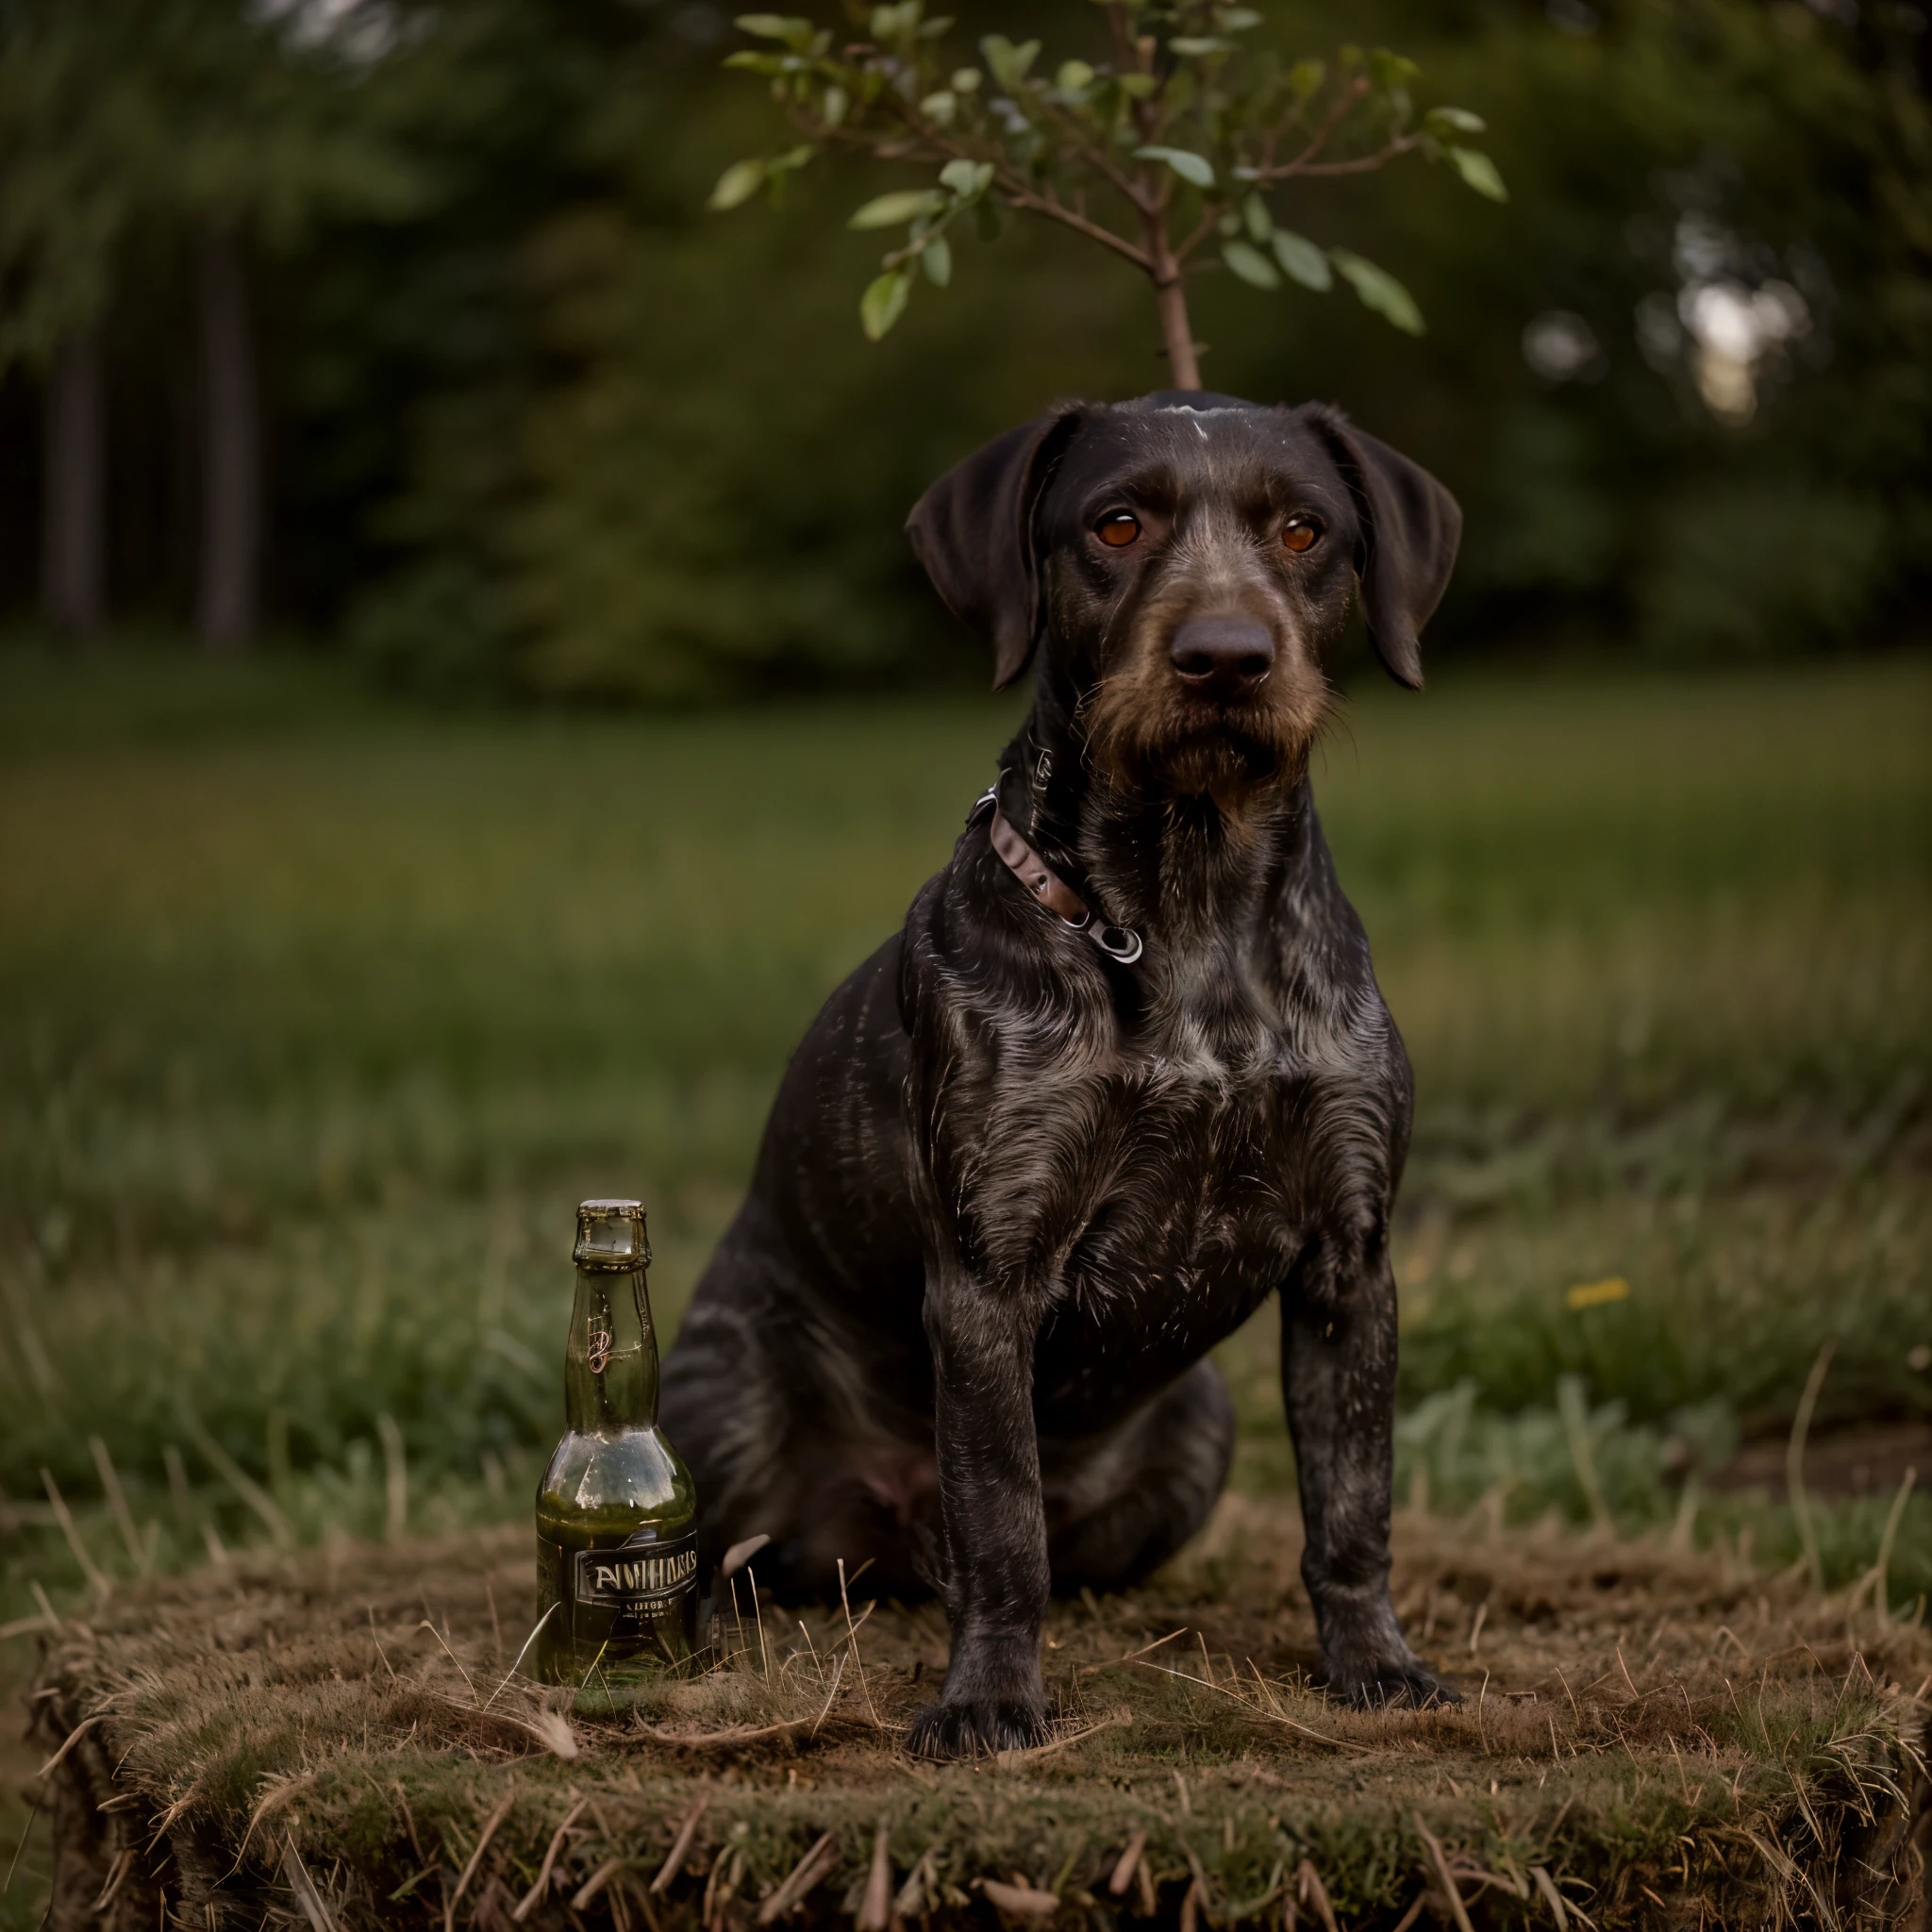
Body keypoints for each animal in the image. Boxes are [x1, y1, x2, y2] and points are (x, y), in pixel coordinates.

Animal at [664, 388, 1460, 1754]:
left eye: (1303, 528)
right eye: (1117, 522)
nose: (1225, 657)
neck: (1190, 912)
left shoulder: (1348, 1260)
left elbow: (1352, 1507)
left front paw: (1373, 1662)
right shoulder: (992, 1266)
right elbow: (1001, 1524)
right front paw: (988, 1696)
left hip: (1199, 1425)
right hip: (725, 1403)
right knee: (739, 1554)